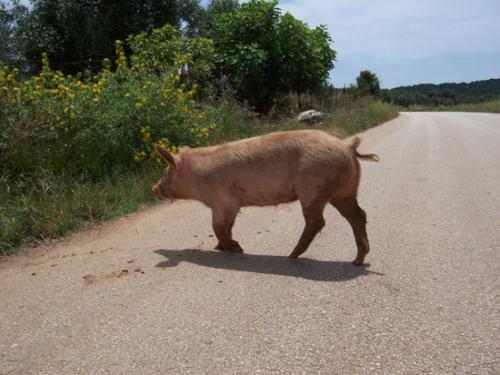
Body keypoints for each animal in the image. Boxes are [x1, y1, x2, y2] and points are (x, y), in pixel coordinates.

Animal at [152, 131, 378, 266]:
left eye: (165, 173)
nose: (153, 188)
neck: (197, 177)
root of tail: (348, 148)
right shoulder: (234, 205)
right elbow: (228, 226)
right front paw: (219, 248)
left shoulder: (223, 202)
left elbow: (218, 227)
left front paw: (237, 249)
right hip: (344, 192)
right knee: (358, 215)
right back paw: (357, 261)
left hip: (313, 188)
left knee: (317, 221)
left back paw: (291, 255)